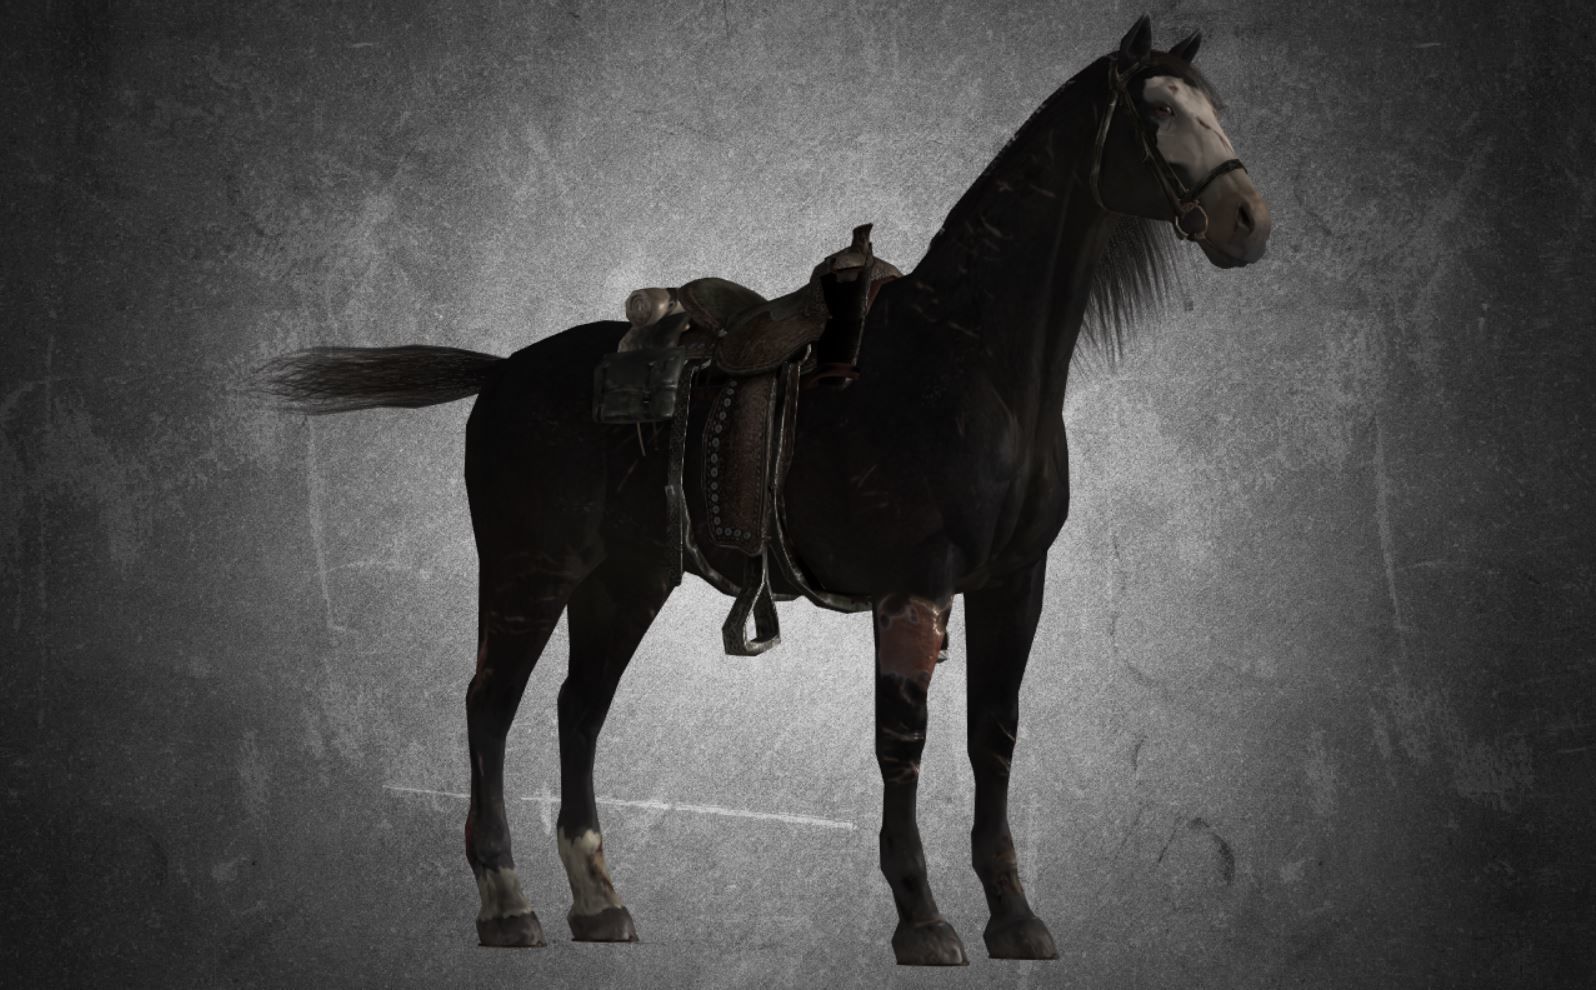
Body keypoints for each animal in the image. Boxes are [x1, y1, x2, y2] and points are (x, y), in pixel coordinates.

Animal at [256, 15, 1271, 966]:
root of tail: (503, 372)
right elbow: (902, 743)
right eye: (1155, 112)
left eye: (1215, 107)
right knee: (489, 706)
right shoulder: (915, 587)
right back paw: (506, 905)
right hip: (527, 573)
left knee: (578, 708)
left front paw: (1016, 919)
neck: (968, 361)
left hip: (623, 584)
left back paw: (600, 902)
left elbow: (994, 736)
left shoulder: (1014, 583)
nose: (1251, 221)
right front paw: (922, 920)